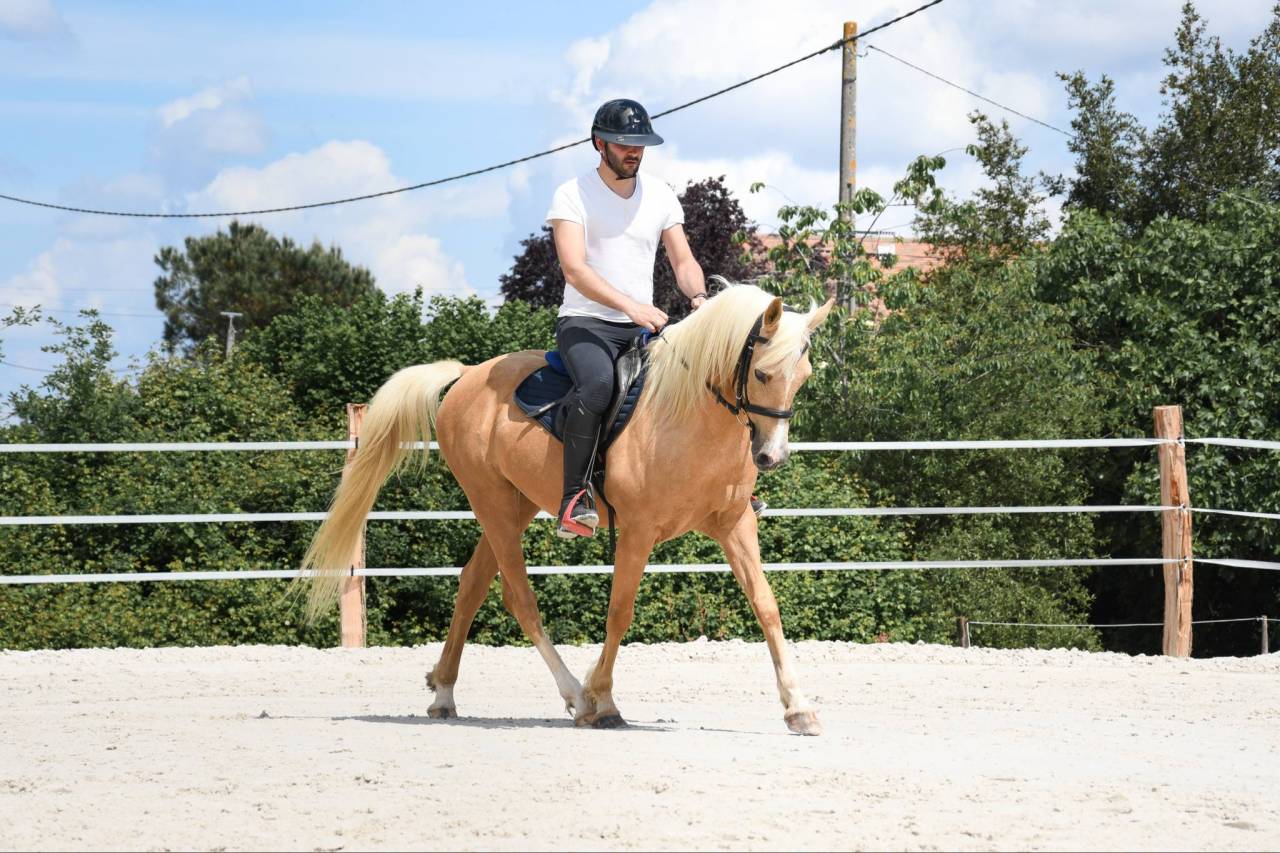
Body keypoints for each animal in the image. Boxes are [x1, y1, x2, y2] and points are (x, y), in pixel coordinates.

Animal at [300, 282, 835, 735]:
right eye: (763, 373)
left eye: (804, 377)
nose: (771, 457)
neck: (688, 416)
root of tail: (468, 376)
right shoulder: (638, 532)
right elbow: (619, 611)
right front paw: (602, 698)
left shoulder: (735, 526)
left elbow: (766, 606)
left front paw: (799, 707)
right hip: (492, 504)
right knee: (519, 598)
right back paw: (576, 697)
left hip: (512, 508)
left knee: (472, 584)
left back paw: (444, 692)